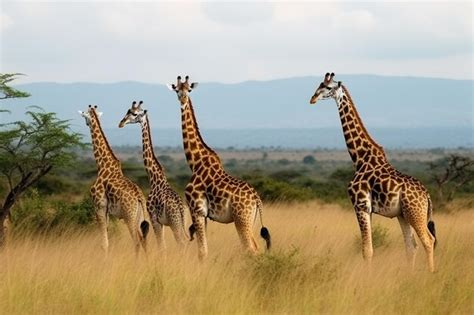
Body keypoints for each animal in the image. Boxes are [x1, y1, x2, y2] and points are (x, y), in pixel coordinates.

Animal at [78, 105, 150, 256]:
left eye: (85, 116)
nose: (86, 123)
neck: (102, 165)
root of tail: (140, 199)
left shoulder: (99, 206)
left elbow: (104, 244)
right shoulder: (106, 211)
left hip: (129, 216)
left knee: (137, 241)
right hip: (140, 217)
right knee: (144, 240)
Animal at [118, 102, 189, 251]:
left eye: (134, 113)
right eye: (127, 111)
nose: (121, 123)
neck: (155, 179)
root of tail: (181, 208)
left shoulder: (153, 218)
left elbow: (161, 245)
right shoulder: (160, 222)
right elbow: (162, 245)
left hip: (174, 223)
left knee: (181, 243)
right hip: (181, 222)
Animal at [167, 76, 270, 262]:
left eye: (189, 90)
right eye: (177, 89)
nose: (183, 99)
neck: (195, 163)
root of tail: (256, 199)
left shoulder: (196, 210)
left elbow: (202, 251)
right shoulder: (204, 215)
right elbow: (204, 249)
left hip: (241, 219)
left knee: (250, 248)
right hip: (250, 220)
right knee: (255, 247)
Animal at [308, 73, 436, 272]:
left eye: (328, 87)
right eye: (319, 84)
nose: (312, 98)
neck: (359, 158)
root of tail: (427, 196)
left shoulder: (360, 205)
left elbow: (367, 251)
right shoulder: (368, 209)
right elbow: (370, 248)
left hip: (415, 213)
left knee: (428, 241)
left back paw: (431, 274)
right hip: (403, 214)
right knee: (411, 246)